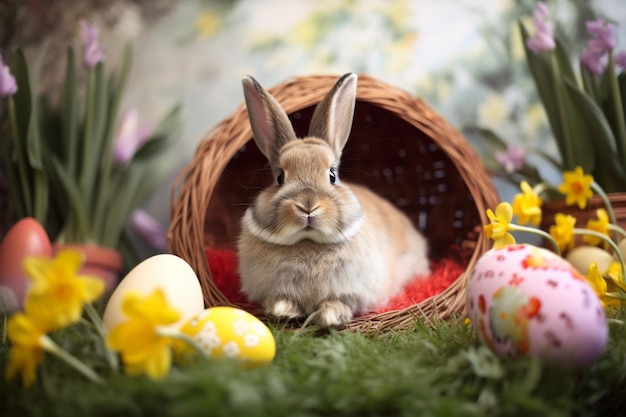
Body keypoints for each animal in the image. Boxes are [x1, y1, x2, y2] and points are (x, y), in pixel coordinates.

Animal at [235, 72, 428, 328]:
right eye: (280, 177)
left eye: (332, 175)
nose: (308, 207)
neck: (308, 242)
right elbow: (279, 300)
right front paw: (285, 312)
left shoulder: (354, 291)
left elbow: (341, 302)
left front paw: (330, 317)